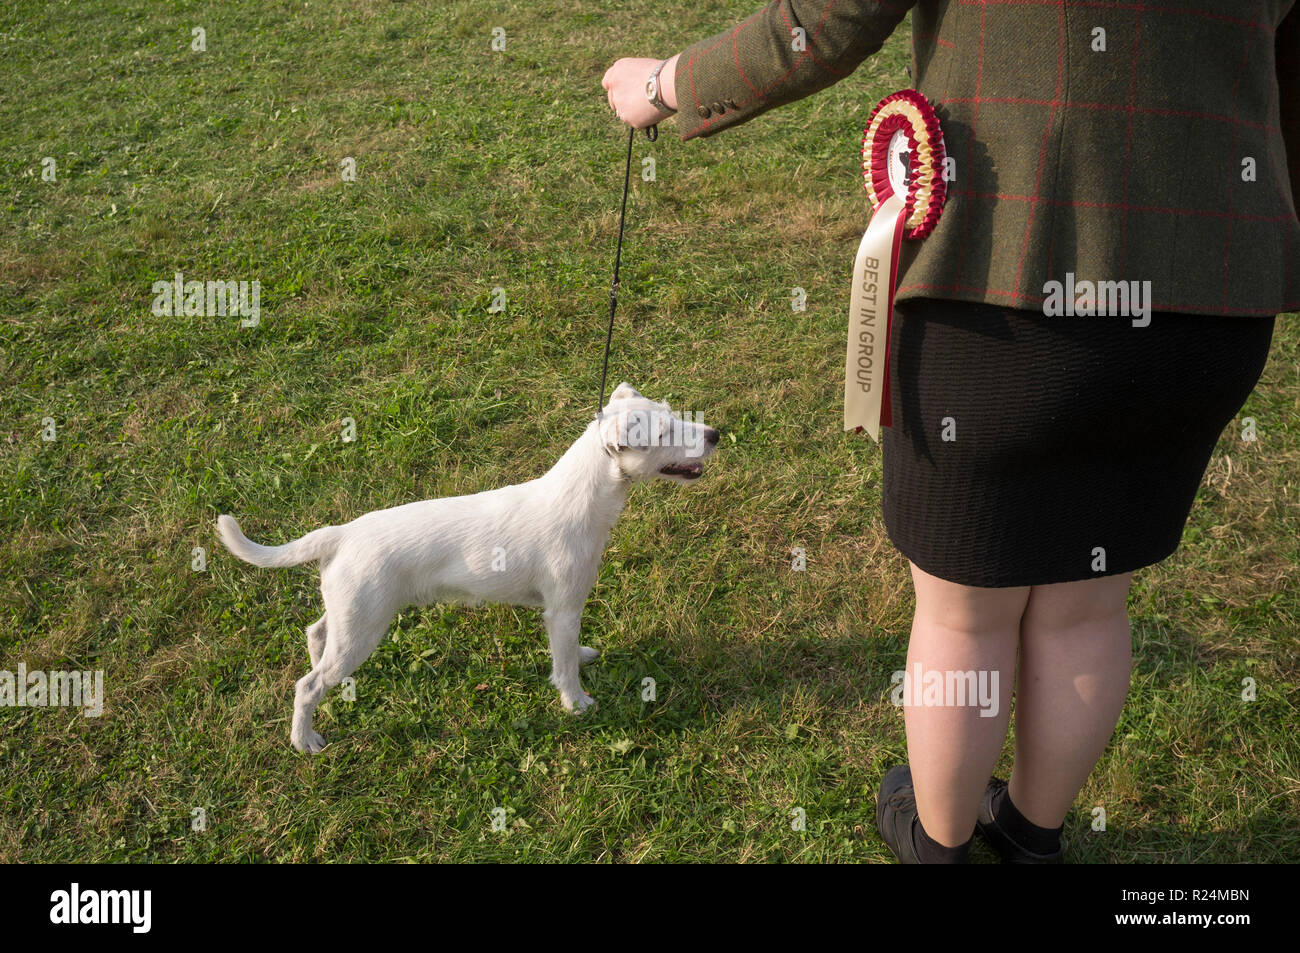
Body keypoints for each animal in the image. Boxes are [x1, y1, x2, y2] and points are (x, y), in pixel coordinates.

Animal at [215, 382, 722, 748]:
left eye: (674, 414)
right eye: (662, 435)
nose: (715, 434)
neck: (583, 496)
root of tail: (341, 534)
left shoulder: (566, 612)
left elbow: (568, 651)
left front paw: (580, 657)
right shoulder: (561, 608)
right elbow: (563, 665)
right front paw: (577, 703)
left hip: (350, 614)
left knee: (316, 633)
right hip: (364, 625)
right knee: (306, 687)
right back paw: (306, 741)